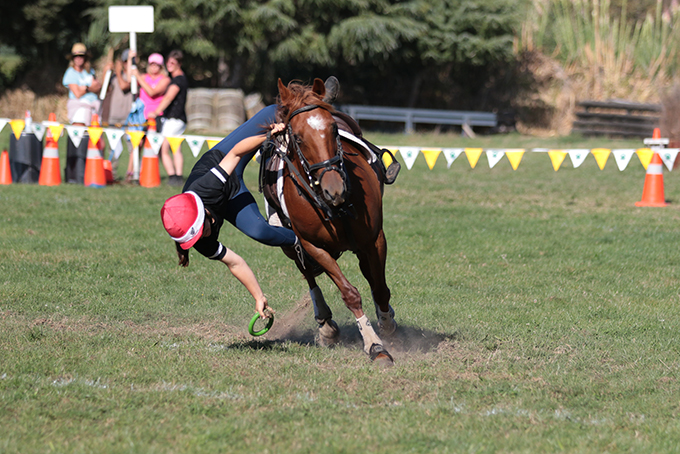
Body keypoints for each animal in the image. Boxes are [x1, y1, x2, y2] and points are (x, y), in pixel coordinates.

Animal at [268, 80, 398, 368]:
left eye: (333, 129)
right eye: (298, 138)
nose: (334, 189)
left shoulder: (374, 239)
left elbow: (380, 288)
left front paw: (386, 325)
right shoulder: (312, 246)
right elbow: (349, 293)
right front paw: (374, 345)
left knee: (370, 275)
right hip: (290, 245)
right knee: (307, 274)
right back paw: (325, 324)